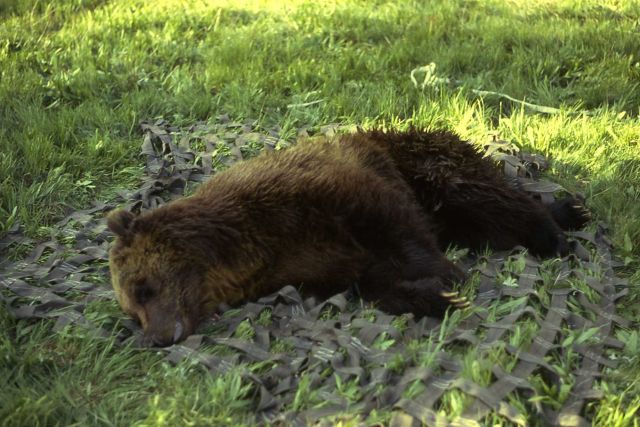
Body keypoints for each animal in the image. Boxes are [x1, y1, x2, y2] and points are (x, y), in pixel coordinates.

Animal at [107, 129, 590, 346]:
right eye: (132, 312)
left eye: (143, 288)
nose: (159, 336)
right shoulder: (306, 260)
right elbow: (373, 281)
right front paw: (433, 296)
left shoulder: (326, 193)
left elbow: (396, 228)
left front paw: (447, 278)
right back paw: (569, 214)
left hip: (432, 166)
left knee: (491, 202)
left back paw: (557, 229)